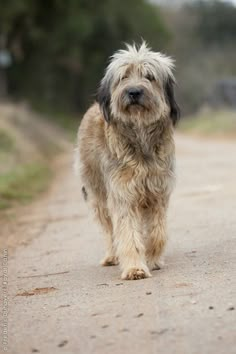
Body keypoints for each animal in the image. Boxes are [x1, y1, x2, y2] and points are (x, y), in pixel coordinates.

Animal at [76, 42, 180, 280]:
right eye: (123, 77)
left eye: (149, 76)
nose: (134, 92)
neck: (140, 137)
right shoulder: (122, 193)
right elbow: (127, 232)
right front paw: (134, 268)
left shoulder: (158, 191)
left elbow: (157, 231)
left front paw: (152, 258)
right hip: (97, 193)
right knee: (108, 229)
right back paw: (111, 256)